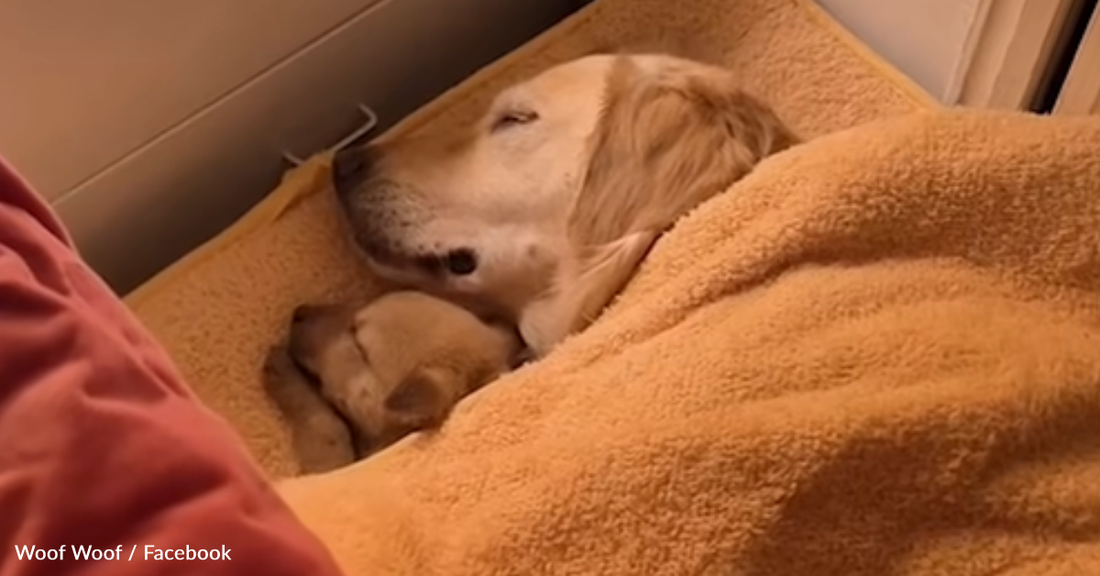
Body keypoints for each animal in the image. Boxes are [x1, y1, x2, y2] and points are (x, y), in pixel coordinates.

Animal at [261, 290, 519, 470]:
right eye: (362, 303)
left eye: (359, 343)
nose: (298, 312)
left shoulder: (331, 465)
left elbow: (325, 424)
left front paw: (281, 368)